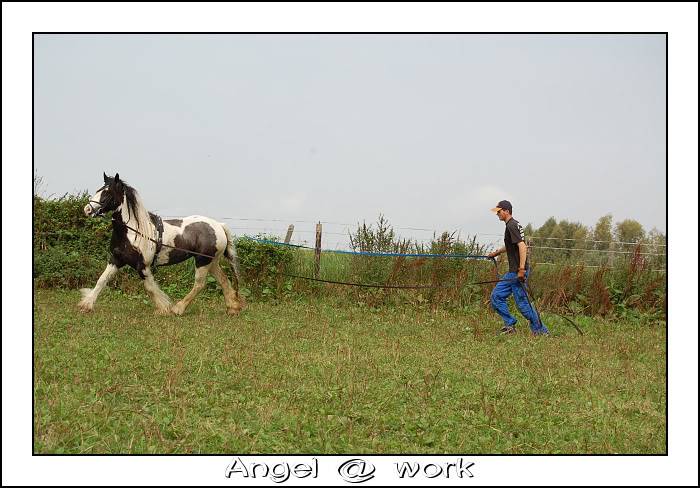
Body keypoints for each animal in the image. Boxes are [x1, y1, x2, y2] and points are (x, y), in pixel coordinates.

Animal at [80, 173, 246, 318]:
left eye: (107, 193)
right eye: (98, 190)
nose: (87, 209)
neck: (134, 231)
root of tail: (219, 225)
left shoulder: (142, 266)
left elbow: (150, 287)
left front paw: (164, 309)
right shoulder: (116, 259)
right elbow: (102, 280)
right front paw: (86, 305)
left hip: (202, 262)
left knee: (199, 284)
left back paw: (178, 309)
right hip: (211, 261)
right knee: (223, 280)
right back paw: (232, 308)